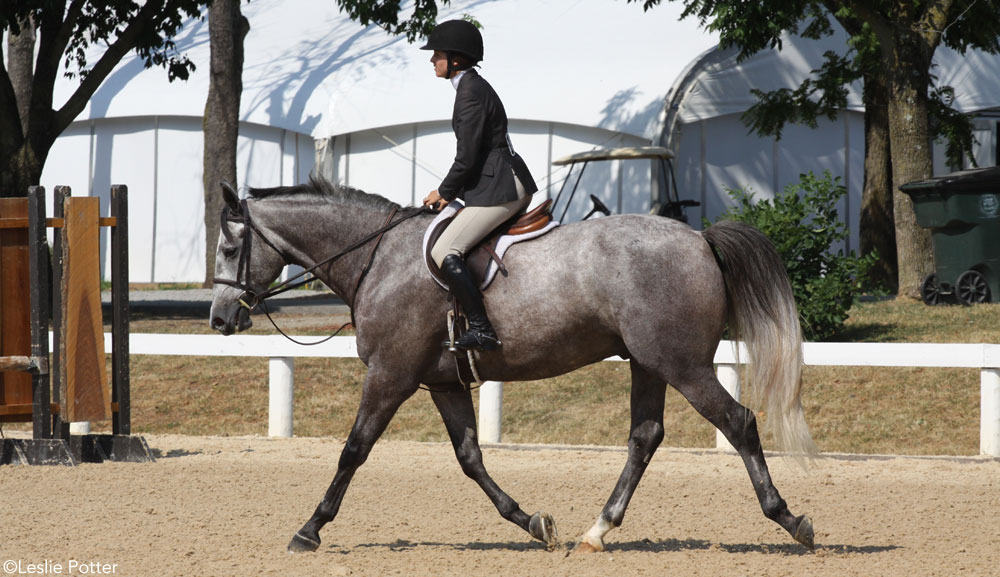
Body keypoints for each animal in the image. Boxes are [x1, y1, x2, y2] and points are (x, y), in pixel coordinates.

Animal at [209, 177, 812, 552]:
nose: (218, 319)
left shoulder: (390, 375)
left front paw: (309, 529)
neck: (377, 258)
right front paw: (532, 523)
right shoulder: (442, 383)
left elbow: (353, 450)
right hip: (647, 362)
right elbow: (470, 458)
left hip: (682, 363)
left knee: (738, 422)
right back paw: (597, 531)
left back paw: (790, 519)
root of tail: (700, 239)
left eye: (227, 248)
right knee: (645, 437)